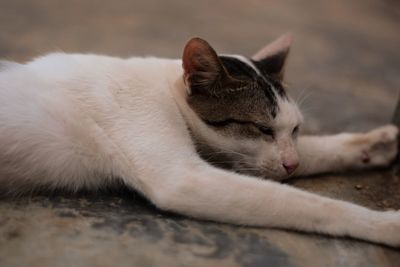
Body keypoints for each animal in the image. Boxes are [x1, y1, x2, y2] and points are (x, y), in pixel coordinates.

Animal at [0, 34, 400, 247]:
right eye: (262, 129)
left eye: (296, 130)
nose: (292, 164)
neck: (168, 88)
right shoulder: (184, 178)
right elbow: (309, 204)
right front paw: (386, 225)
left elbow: (309, 156)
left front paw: (373, 145)